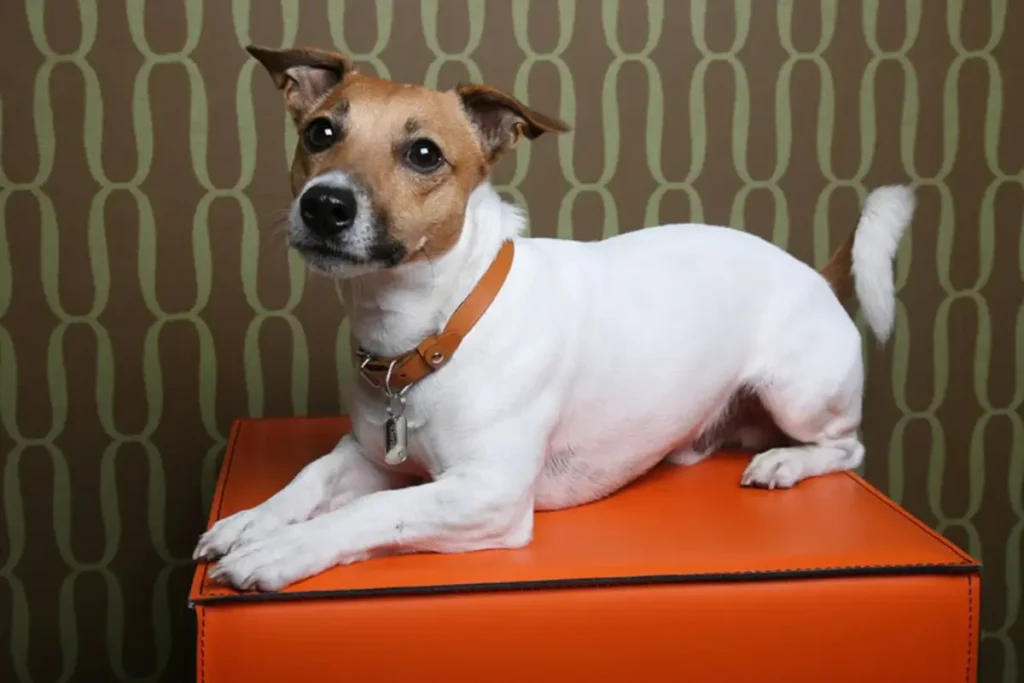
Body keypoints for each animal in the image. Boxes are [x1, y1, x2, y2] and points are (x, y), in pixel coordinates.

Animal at [195, 45, 917, 589]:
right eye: (320, 133)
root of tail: (814, 272)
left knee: (846, 446)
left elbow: (373, 512)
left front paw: (280, 551)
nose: (324, 205)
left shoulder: (485, 493)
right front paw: (251, 521)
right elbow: (311, 477)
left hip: (799, 395)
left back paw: (785, 463)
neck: (439, 328)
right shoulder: (367, 453)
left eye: (424, 153)